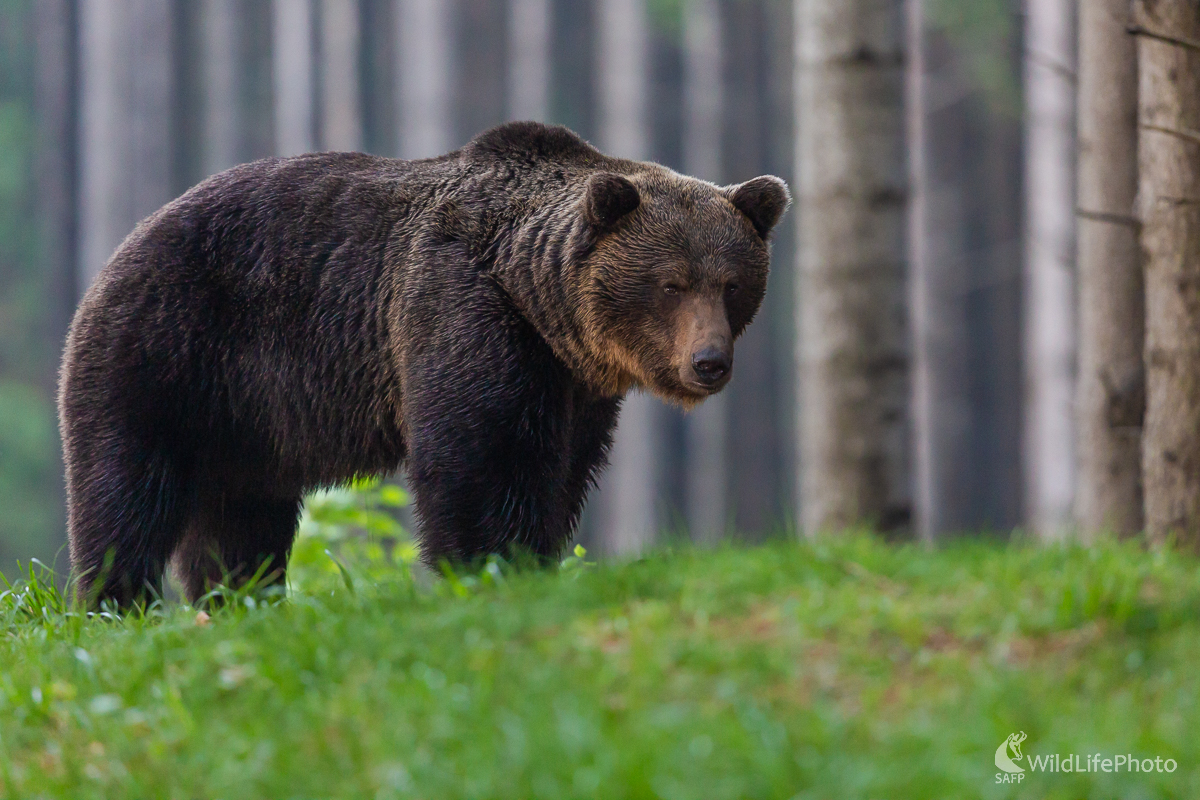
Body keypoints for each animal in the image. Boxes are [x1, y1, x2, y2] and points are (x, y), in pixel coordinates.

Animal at [58, 120, 787, 606]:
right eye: (671, 283)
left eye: (731, 284)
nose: (709, 362)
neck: (537, 298)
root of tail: (121, 246)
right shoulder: (462, 310)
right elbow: (480, 454)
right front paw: (488, 565)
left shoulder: (572, 383)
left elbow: (565, 470)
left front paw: (540, 553)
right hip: (163, 349)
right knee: (125, 488)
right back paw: (117, 600)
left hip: (246, 421)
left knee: (239, 516)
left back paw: (242, 598)